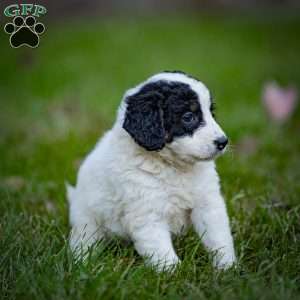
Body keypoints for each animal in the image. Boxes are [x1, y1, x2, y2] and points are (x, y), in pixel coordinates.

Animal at [67, 71, 236, 272]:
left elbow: (218, 236)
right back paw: (81, 261)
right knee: (84, 240)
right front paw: (174, 274)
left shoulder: (208, 203)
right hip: (87, 221)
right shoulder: (147, 214)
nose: (223, 142)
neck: (173, 167)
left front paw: (228, 268)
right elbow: (162, 252)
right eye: (188, 117)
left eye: (211, 112)